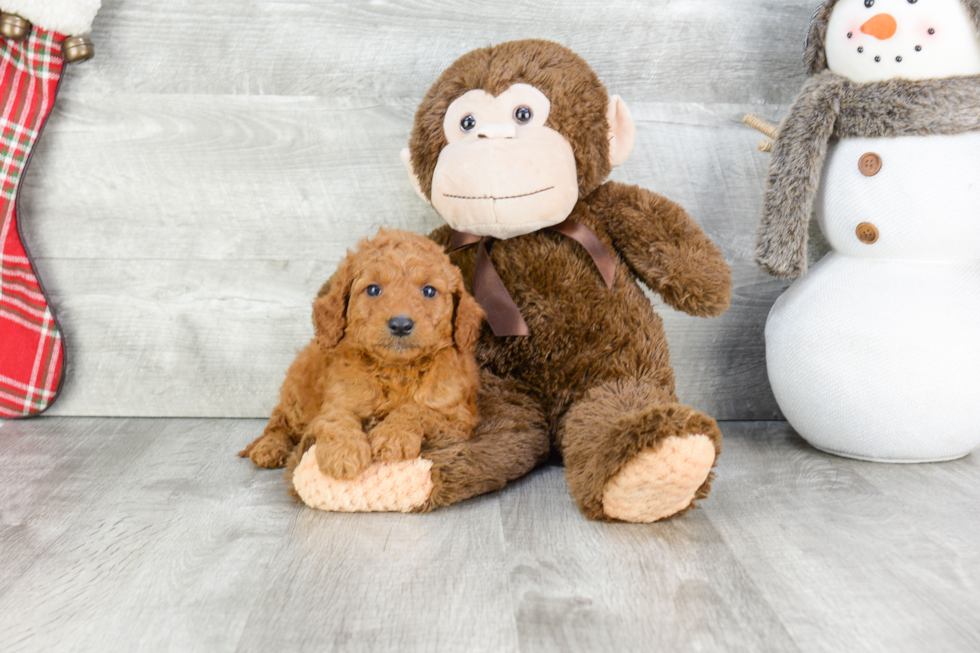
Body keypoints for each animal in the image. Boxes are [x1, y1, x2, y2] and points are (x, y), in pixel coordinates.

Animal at [237, 229, 482, 478]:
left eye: (429, 291)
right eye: (373, 289)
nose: (400, 324)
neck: (396, 369)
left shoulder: (457, 417)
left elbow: (416, 410)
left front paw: (392, 436)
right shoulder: (336, 401)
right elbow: (338, 419)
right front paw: (344, 454)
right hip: (296, 399)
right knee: (278, 425)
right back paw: (269, 447)